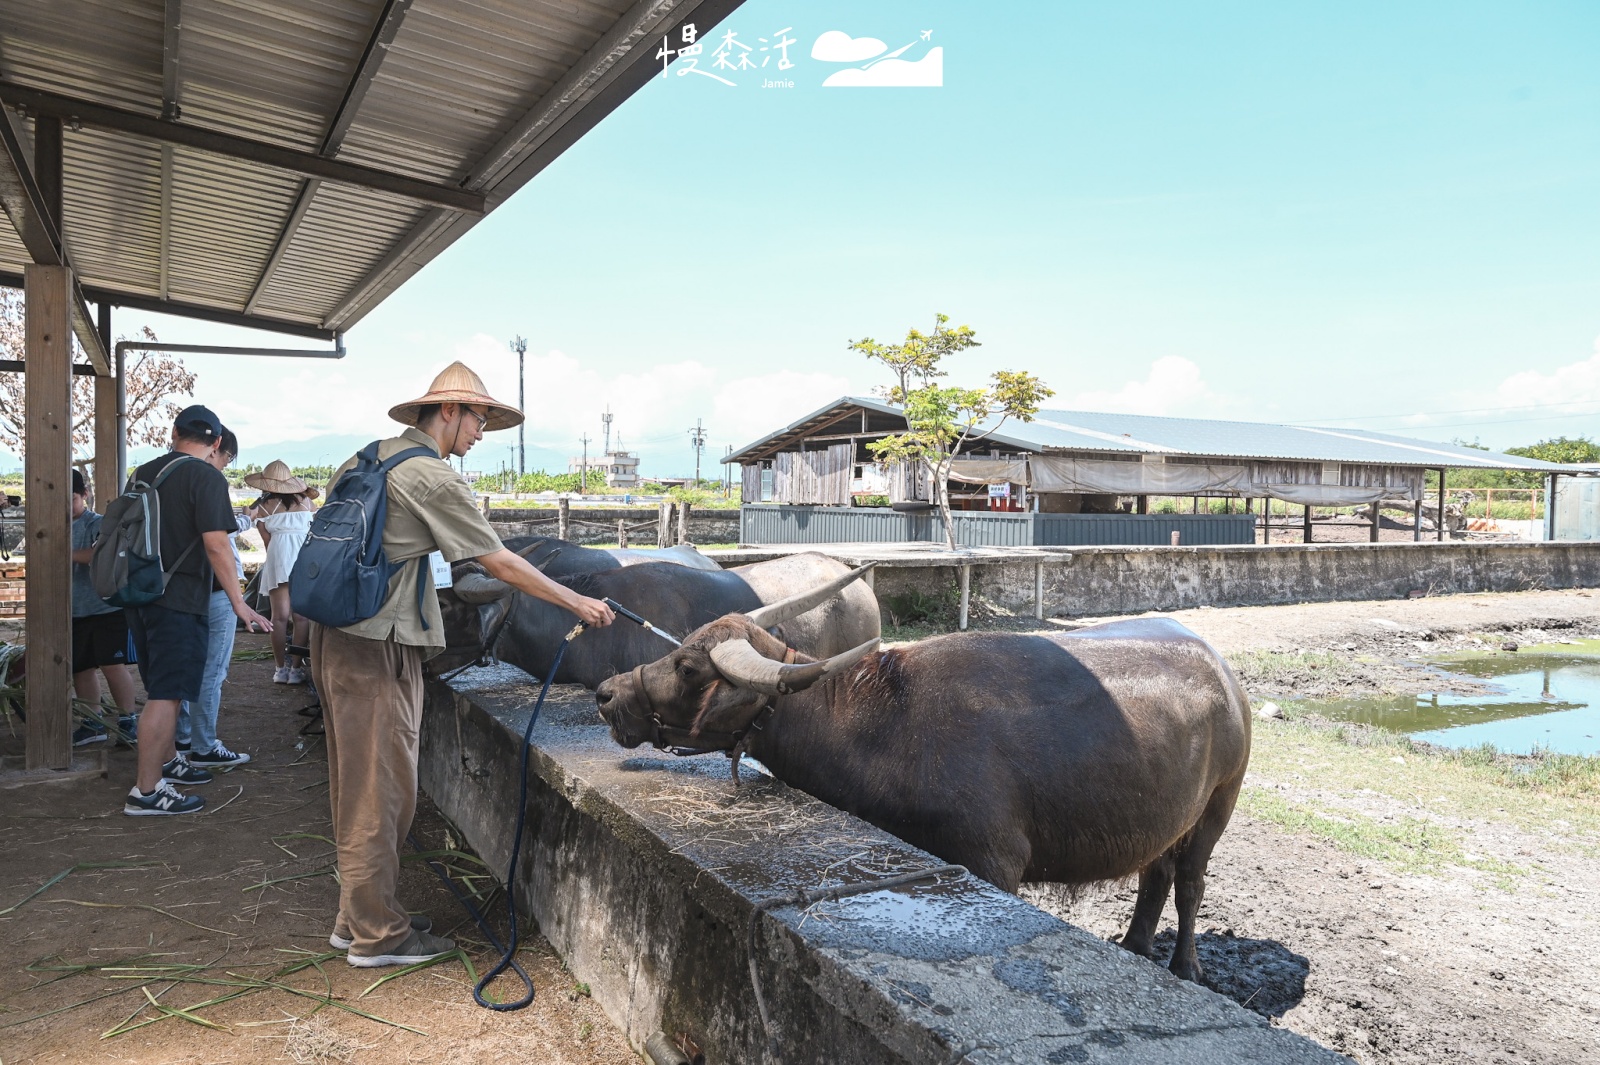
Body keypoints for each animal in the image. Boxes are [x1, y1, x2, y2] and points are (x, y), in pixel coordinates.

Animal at [588, 572, 1248, 978]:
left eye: (689, 667)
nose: (607, 693)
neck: (880, 719)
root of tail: (1225, 678)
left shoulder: (994, 863)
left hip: (1218, 808)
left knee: (1189, 886)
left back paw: (1185, 965)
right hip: (1165, 821)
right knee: (1154, 877)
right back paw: (1135, 947)